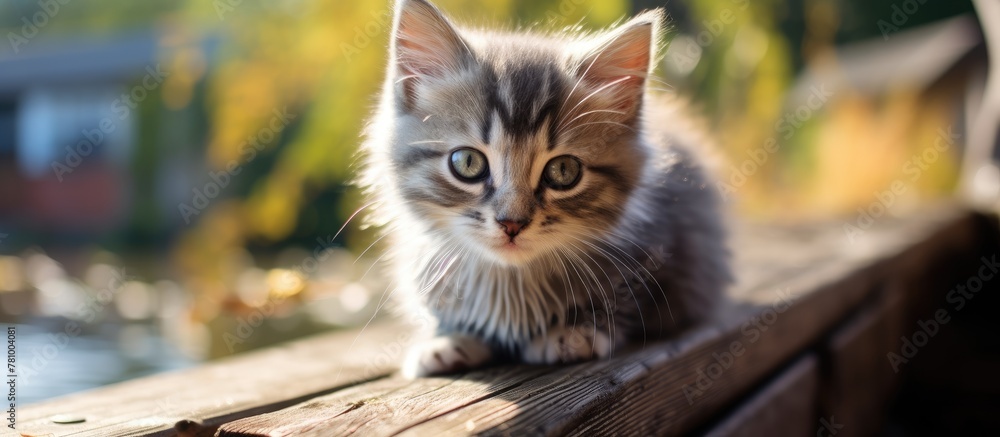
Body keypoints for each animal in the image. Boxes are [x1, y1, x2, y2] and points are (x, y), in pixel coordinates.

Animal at [358, 0, 728, 376]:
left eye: (563, 171)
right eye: (468, 163)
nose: (512, 223)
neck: (510, 282)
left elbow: (627, 299)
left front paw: (574, 330)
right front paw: (448, 338)